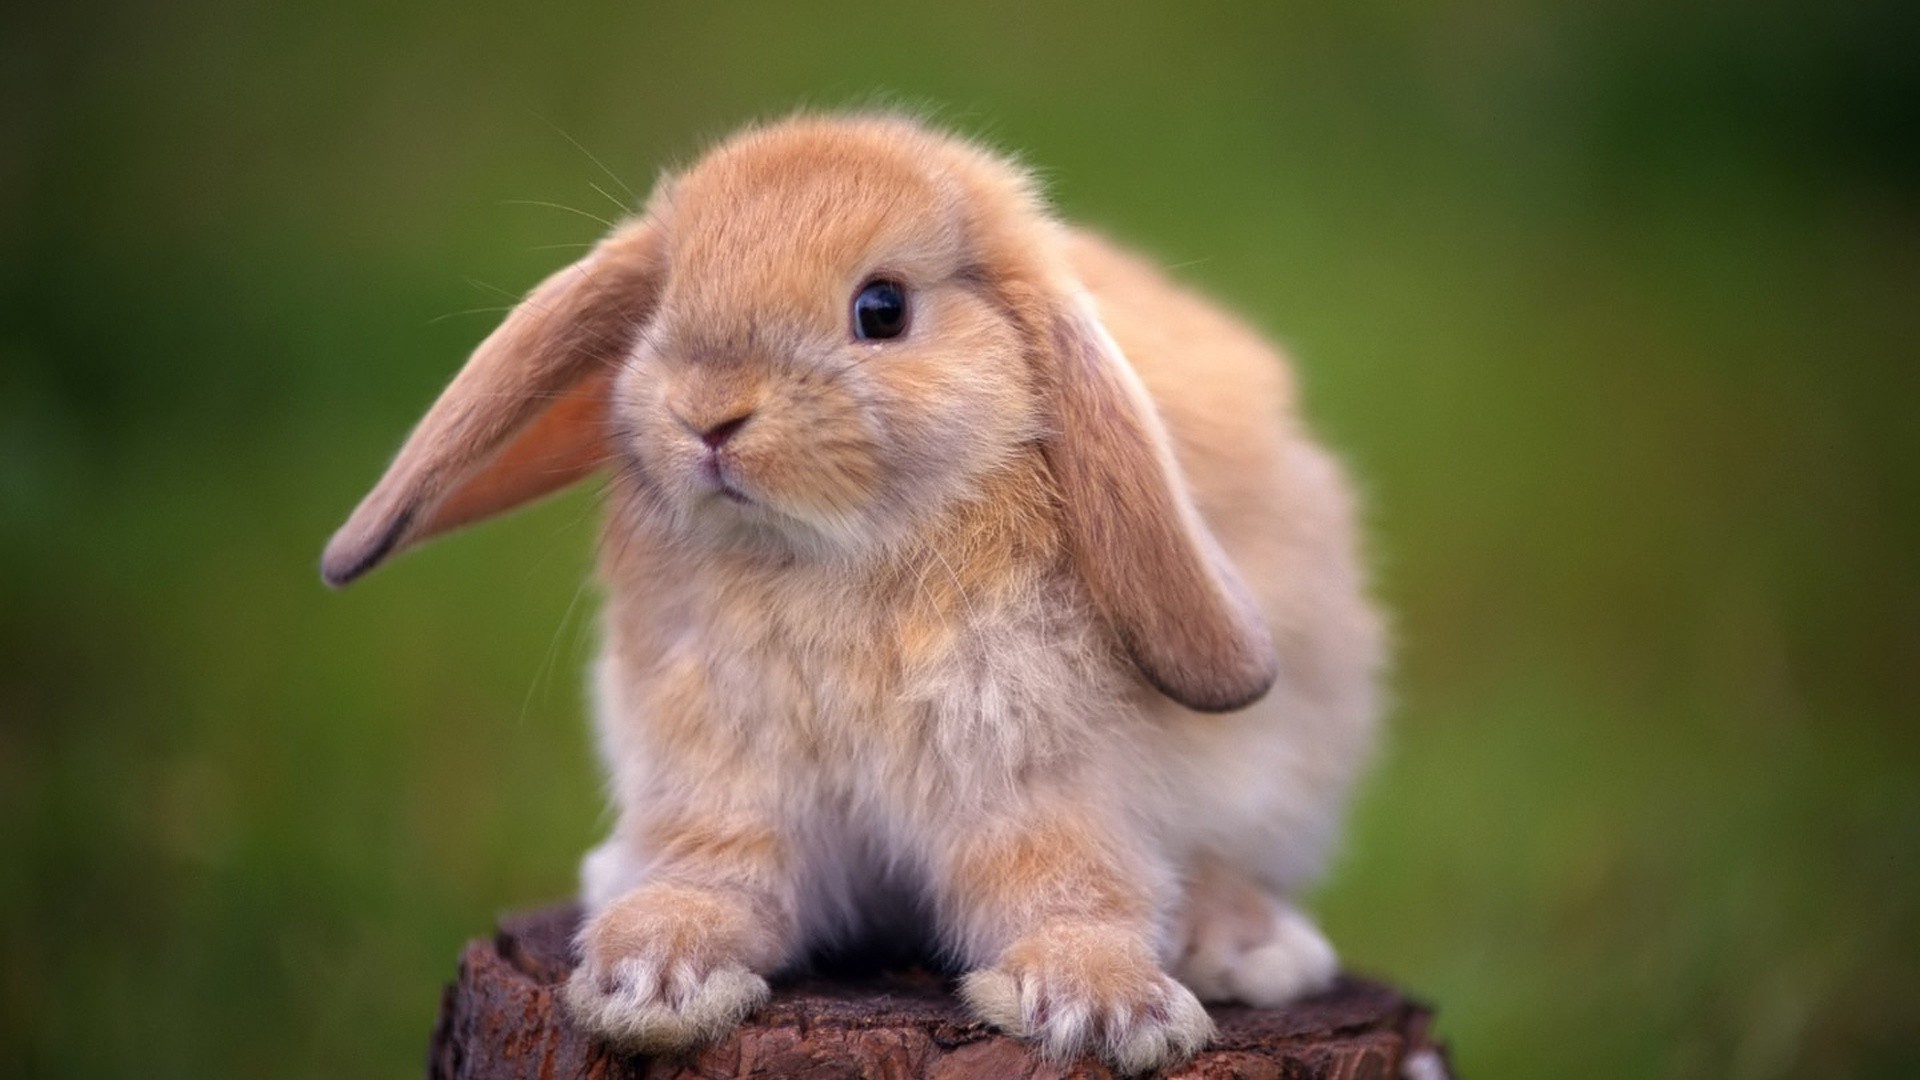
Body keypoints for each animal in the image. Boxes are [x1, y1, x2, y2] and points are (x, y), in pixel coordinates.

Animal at [326, 111, 1382, 1068]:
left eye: (882, 309)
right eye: (664, 300)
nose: (707, 414)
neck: (824, 556)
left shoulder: (1039, 782)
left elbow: (1067, 888)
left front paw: (1110, 1011)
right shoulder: (723, 776)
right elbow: (720, 877)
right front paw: (650, 978)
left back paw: (1249, 948)